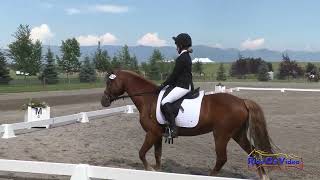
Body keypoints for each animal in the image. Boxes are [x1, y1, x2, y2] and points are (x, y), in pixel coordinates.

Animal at [102, 69, 276, 179]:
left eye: (109, 83)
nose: (103, 101)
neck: (148, 99)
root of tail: (242, 101)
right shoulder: (157, 134)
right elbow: (157, 155)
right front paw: (157, 170)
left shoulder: (151, 133)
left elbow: (141, 153)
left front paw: (149, 169)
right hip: (237, 134)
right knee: (253, 152)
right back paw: (263, 176)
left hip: (221, 135)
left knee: (222, 158)